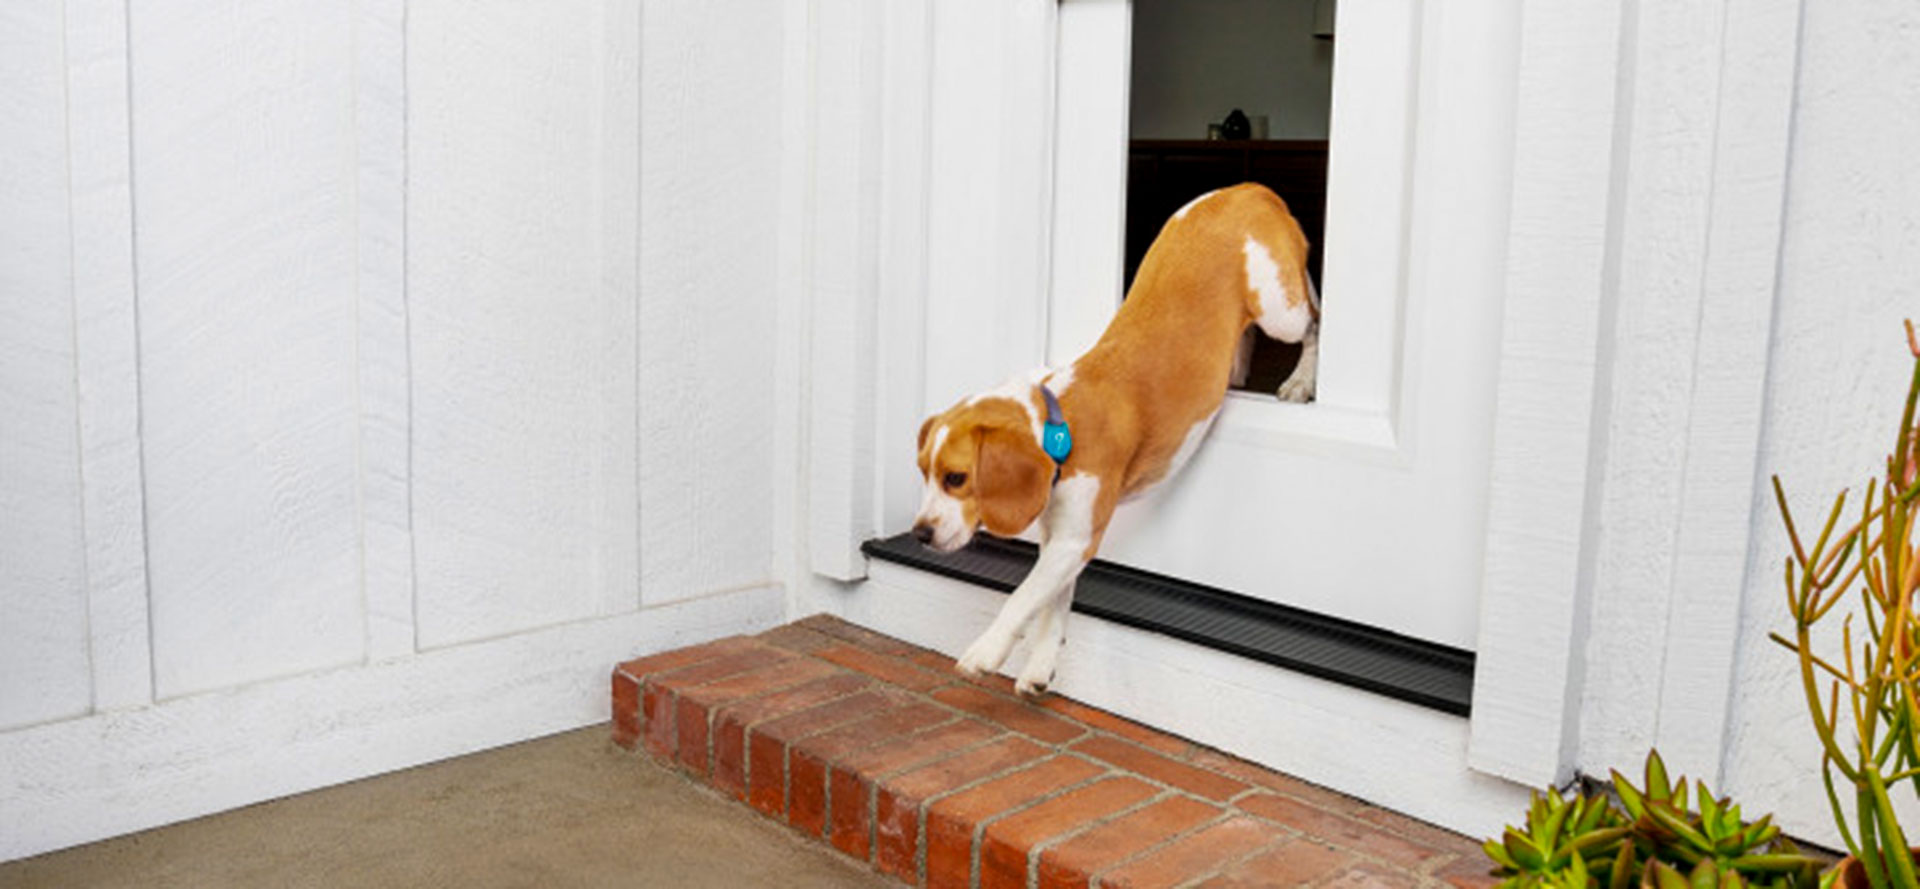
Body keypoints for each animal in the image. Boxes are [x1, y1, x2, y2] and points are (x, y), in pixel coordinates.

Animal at [906, 182, 1313, 695]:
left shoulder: (1074, 539)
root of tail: (1246, 189)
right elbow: (1052, 604)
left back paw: (1302, 379)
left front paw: (987, 649)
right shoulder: (1062, 536)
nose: (919, 533)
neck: (1061, 425)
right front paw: (1041, 664)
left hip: (1282, 310)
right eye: (923, 473)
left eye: (956, 478)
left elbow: (1023, 597)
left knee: (1314, 315)